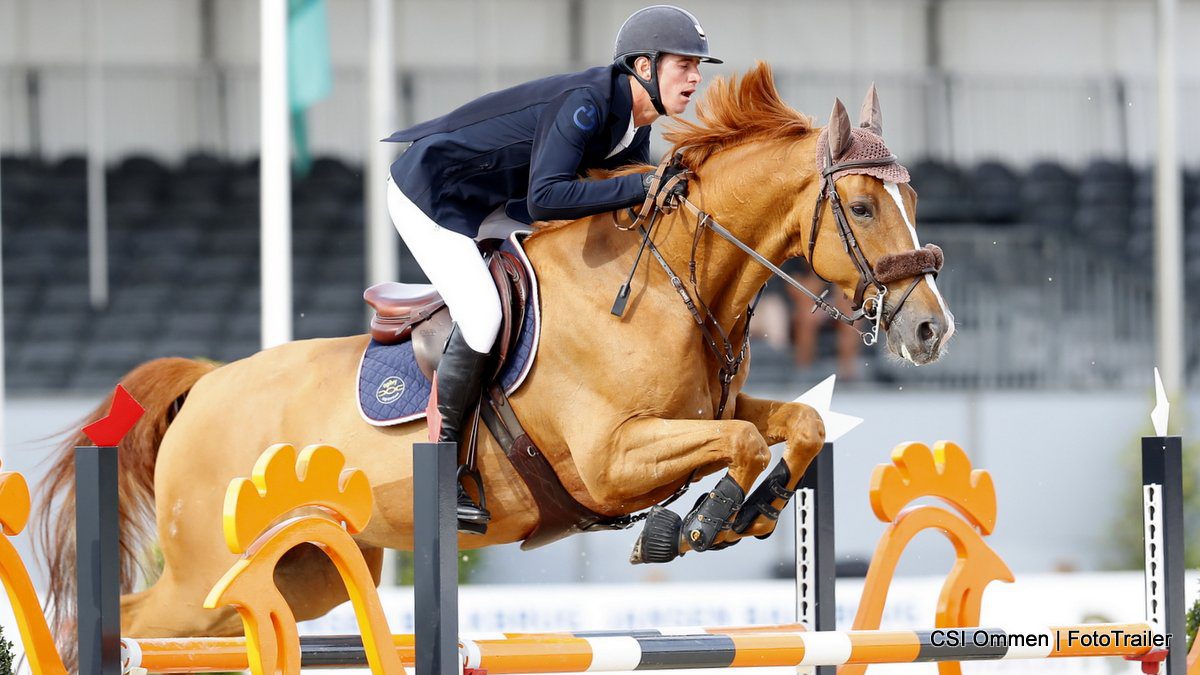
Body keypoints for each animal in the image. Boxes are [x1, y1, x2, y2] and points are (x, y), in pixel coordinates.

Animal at [39, 60, 955, 643]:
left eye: (913, 197)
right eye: (864, 207)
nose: (931, 330)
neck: (665, 283)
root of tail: (206, 384)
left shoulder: (706, 412)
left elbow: (796, 424)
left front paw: (750, 511)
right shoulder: (611, 457)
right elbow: (734, 442)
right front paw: (692, 524)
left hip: (301, 575)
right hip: (203, 576)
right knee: (124, 621)